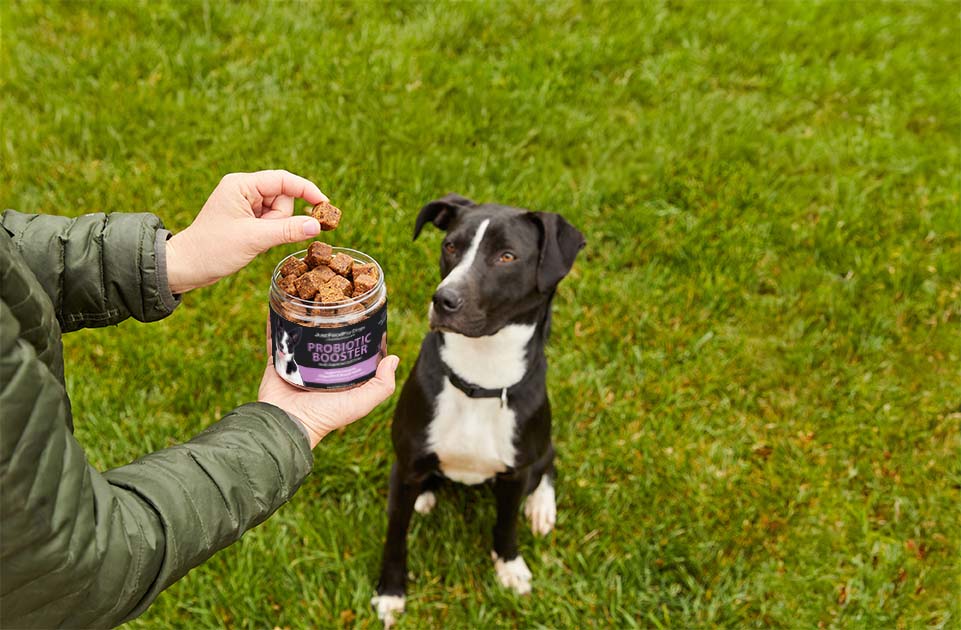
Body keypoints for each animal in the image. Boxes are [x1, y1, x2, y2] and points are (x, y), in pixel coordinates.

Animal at [372, 196, 584, 628]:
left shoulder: (515, 472)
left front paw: (510, 566)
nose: (443, 300)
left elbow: (506, 524)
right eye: (451, 246)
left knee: (549, 462)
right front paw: (391, 592)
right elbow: (395, 536)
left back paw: (541, 508)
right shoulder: (407, 464)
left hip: (541, 444)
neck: (479, 379)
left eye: (507, 257)